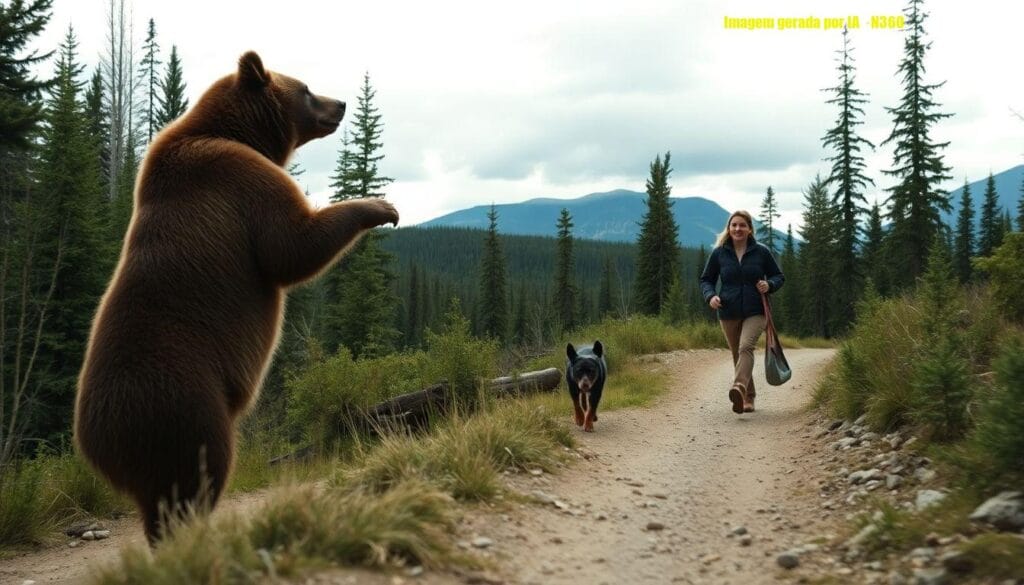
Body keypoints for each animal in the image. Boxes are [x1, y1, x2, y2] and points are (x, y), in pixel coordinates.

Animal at [74, 51, 399, 544]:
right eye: (306, 89)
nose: (341, 103)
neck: (239, 133)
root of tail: (97, 440)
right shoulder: (238, 179)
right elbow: (289, 245)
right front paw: (379, 206)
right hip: (184, 402)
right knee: (199, 475)